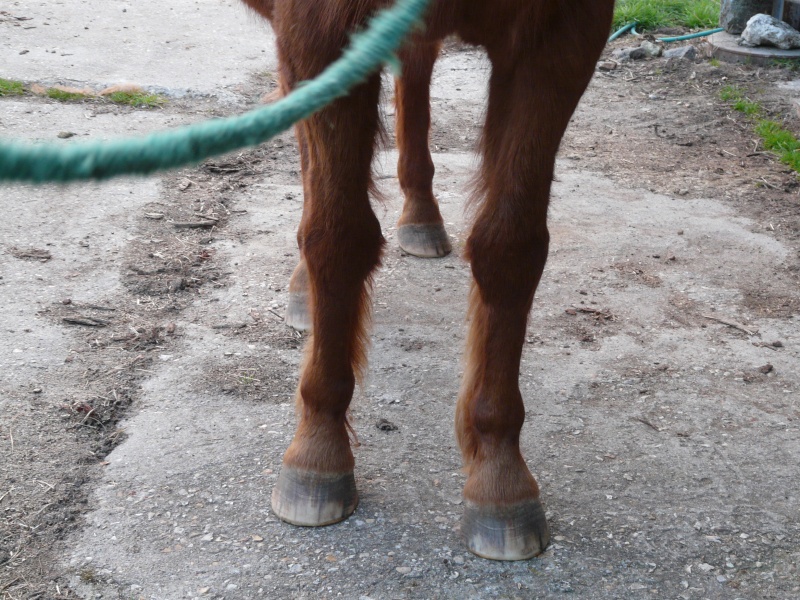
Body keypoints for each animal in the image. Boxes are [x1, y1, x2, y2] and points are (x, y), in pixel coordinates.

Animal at [241, 1, 616, 564]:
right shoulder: (319, 32)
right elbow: (336, 233)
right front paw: (317, 452)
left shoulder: (561, 38)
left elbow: (511, 249)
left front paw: (499, 475)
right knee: (311, 163)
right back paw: (306, 288)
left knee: (413, 72)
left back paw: (421, 218)